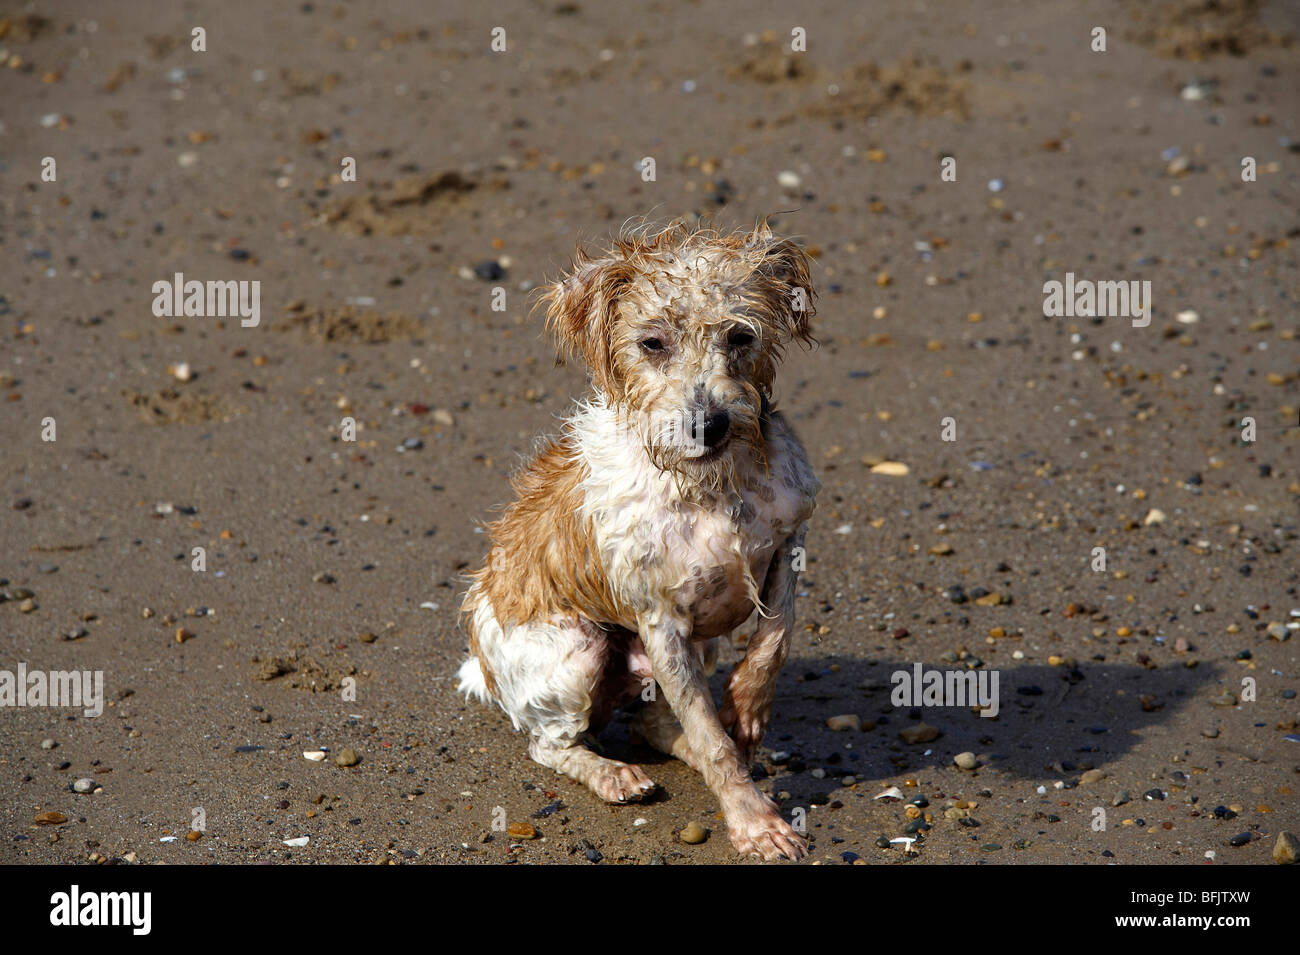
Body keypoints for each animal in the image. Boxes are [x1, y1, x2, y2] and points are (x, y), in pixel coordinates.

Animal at [460, 220, 821, 862]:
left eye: (740, 336)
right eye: (652, 343)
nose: (708, 424)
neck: (710, 488)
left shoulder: (788, 543)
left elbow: (772, 644)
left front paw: (746, 710)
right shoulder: (660, 622)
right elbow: (715, 743)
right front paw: (755, 823)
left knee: (651, 724)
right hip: (576, 651)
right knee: (551, 744)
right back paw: (612, 775)